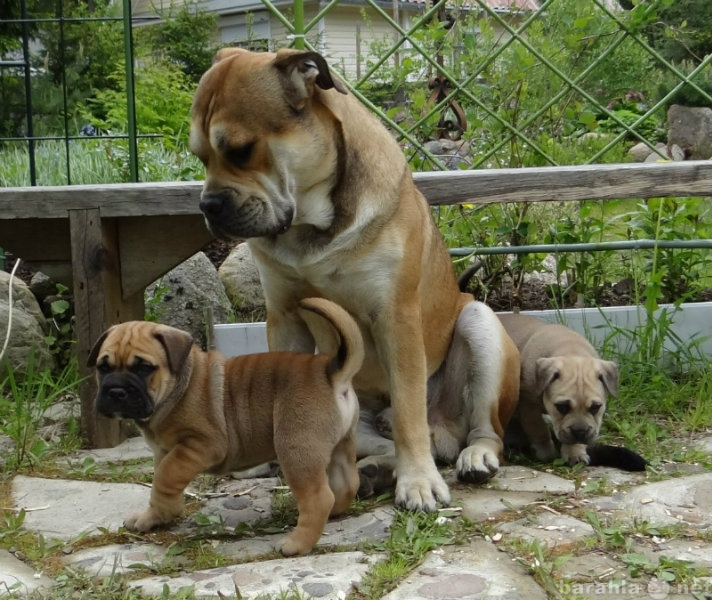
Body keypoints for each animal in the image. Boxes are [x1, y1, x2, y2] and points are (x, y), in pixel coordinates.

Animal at [88, 298, 364, 556]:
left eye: (144, 368)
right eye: (103, 367)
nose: (116, 391)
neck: (179, 387)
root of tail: (330, 373)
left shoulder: (200, 445)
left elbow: (164, 476)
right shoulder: (164, 451)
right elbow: (161, 483)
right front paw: (154, 516)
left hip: (296, 449)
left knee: (319, 498)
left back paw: (297, 543)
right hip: (340, 446)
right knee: (346, 484)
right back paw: (333, 513)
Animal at [189, 47, 520, 508]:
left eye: (241, 150)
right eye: (201, 157)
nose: (208, 204)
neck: (313, 227)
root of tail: (445, 432)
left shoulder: (395, 316)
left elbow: (408, 412)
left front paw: (419, 482)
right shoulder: (285, 316)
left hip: (479, 324)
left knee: (481, 430)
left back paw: (472, 456)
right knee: (378, 444)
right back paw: (368, 472)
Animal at [496, 312, 616, 466]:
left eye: (595, 407)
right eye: (562, 407)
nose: (580, 431)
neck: (571, 351)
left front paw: (575, 452)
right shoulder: (529, 406)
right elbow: (539, 429)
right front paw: (546, 452)